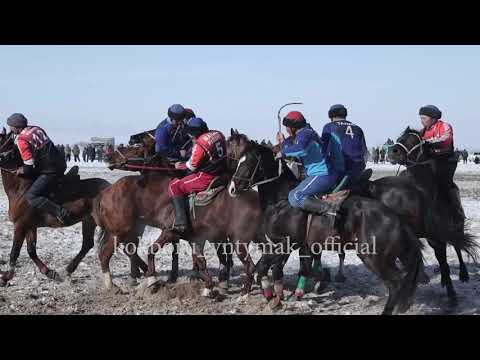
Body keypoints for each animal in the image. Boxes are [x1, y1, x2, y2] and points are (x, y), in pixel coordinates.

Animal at [0, 128, 112, 286]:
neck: (21, 188)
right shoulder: (30, 226)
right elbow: (31, 251)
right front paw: (49, 272)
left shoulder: (20, 225)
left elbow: (15, 252)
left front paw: (6, 277)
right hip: (89, 221)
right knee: (87, 244)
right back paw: (69, 269)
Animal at [227, 138, 422, 316]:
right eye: (238, 160)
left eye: (249, 162)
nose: (232, 188)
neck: (282, 201)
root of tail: (395, 218)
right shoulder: (292, 246)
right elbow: (272, 269)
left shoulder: (285, 244)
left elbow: (260, 270)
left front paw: (274, 299)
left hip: (373, 257)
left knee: (396, 283)